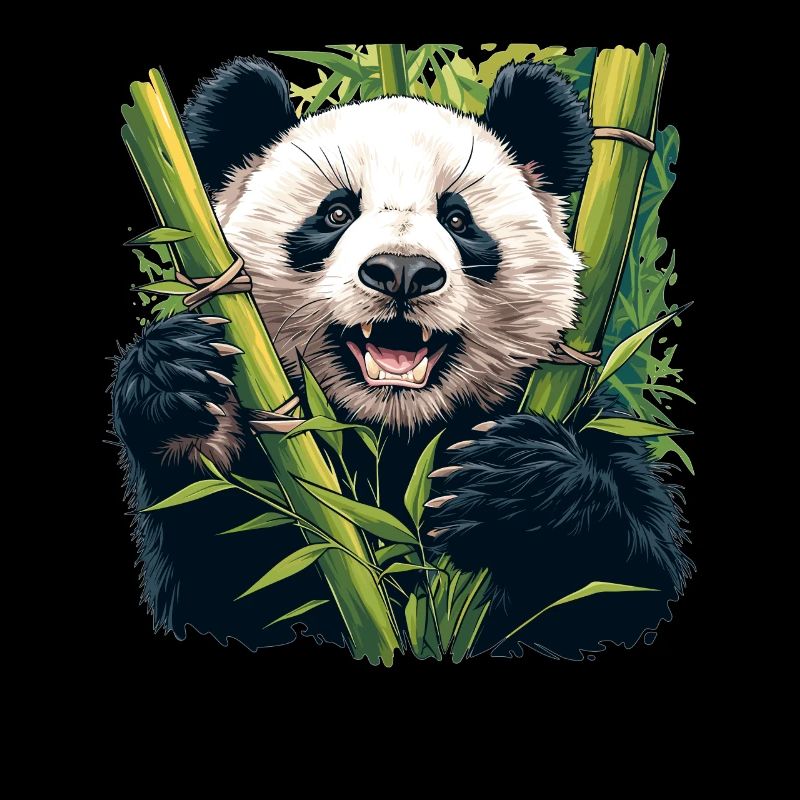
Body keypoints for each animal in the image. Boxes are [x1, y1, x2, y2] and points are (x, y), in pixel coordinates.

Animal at [112, 56, 692, 660]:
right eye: (336, 212)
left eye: (458, 220)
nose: (403, 271)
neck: (396, 430)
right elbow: (221, 575)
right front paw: (179, 386)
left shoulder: (585, 416)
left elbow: (625, 587)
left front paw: (517, 481)